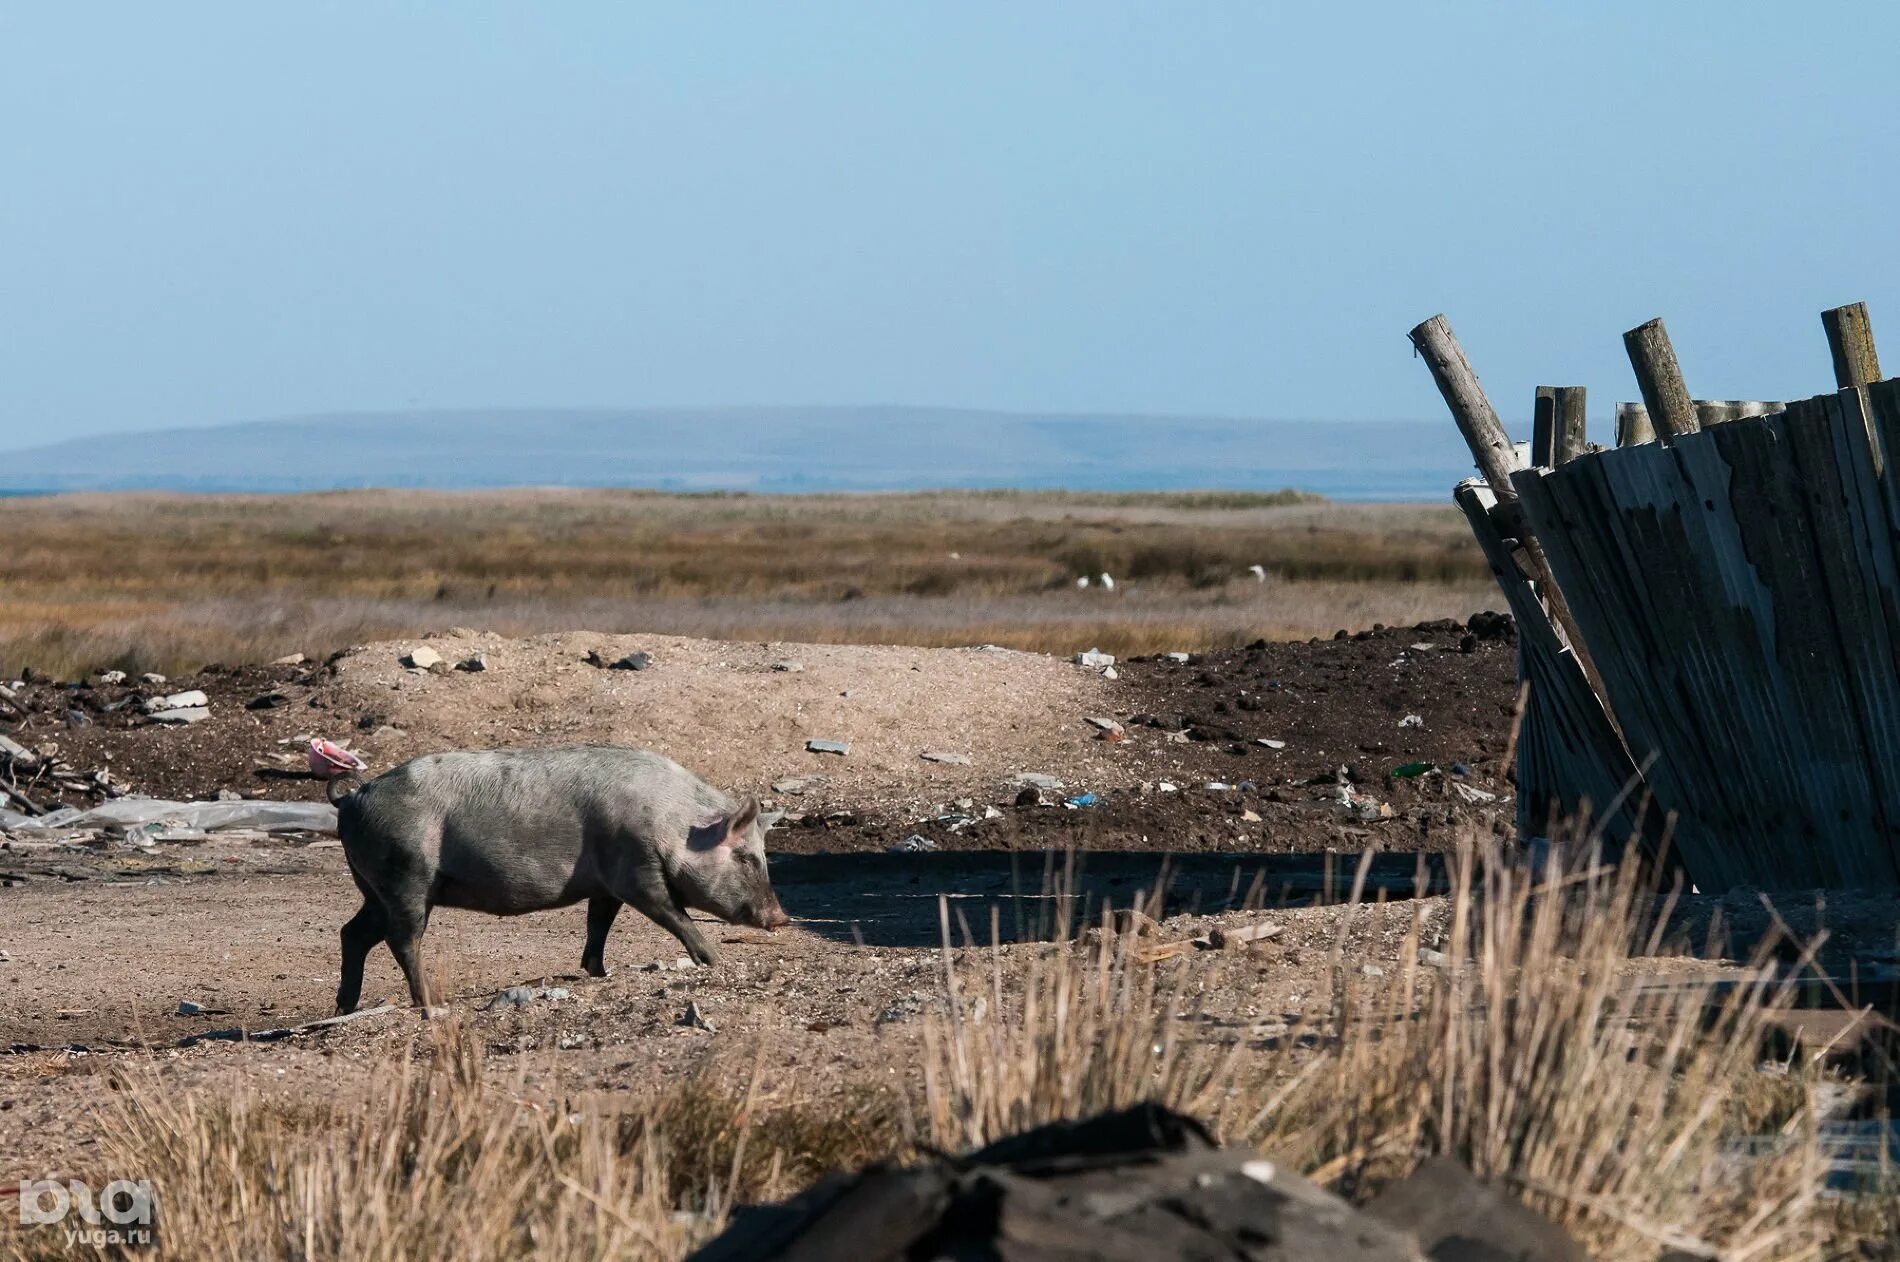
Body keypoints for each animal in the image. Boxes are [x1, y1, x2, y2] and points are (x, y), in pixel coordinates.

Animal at [326, 745, 786, 1011]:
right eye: (747, 858)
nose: (781, 918)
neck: (675, 824)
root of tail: (352, 797)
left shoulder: (606, 884)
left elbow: (599, 922)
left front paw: (599, 972)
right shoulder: (634, 869)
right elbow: (673, 913)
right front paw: (714, 960)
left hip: (375, 889)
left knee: (353, 933)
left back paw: (345, 1008)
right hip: (406, 877)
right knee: (401, 939)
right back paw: (430, 1003)